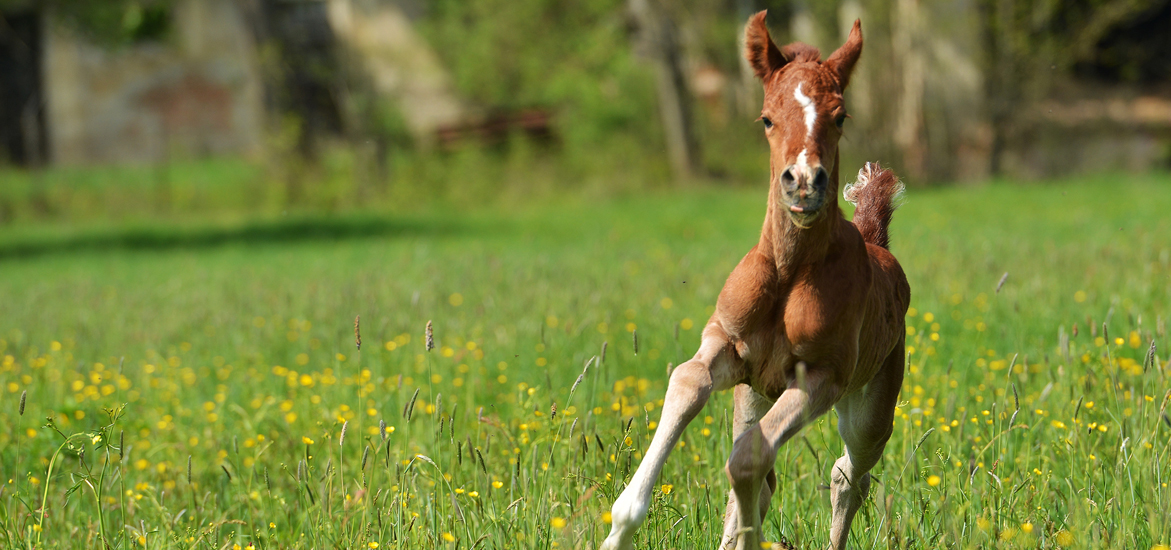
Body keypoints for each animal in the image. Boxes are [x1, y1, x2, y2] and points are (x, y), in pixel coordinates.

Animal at [599, 11, 908, 550]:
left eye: (840, 116)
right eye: (766, 118)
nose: (803, 183)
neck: (787, 276)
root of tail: (880, 245)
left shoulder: (823, 378)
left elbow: (746, 461)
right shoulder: (725, 344)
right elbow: (688, 382)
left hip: (870, 407)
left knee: (850, 473)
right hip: (754, 391)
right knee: (769, 472)